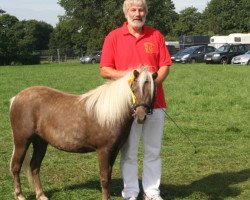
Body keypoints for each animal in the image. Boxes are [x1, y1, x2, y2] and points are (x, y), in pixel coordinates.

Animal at [10, 69, 158, 200]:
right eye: (134, 89)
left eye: (153, 91)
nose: (141, 116)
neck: (109, 115)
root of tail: (16, 97)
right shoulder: (103, 151)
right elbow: (104, 178)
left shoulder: (114, 151)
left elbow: (108, 176)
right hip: (22, 142)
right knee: (16, 167)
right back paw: (20, 195)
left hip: (40, 142)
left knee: (34, 167)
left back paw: (41, 195)